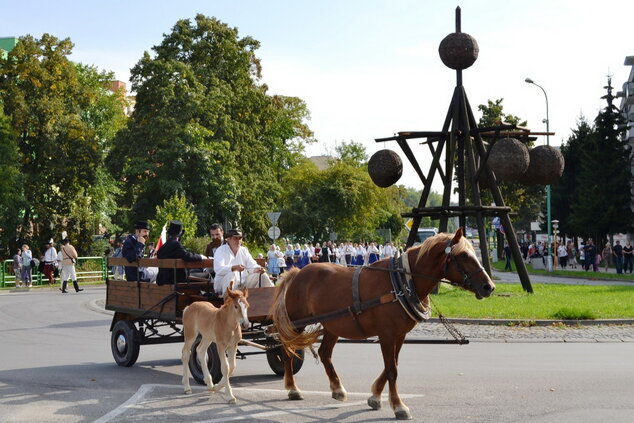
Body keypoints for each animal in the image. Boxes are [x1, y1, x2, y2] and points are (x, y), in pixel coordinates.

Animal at [270, 229, 492, 420]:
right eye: (463, 255)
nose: (489, 286)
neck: (401, 283)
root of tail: (296, 272)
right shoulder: (386, 334)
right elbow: (392, 370)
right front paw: (399, 406)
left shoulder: (399, 335)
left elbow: (392, 365)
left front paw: (375, 396)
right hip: (295, 323)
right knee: (287, 350)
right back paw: (292, 388)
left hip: (333, 325)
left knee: (324, 353)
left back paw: (337, 389)